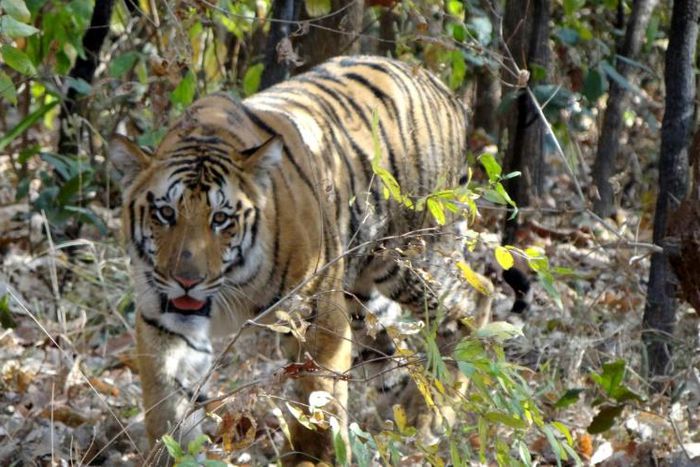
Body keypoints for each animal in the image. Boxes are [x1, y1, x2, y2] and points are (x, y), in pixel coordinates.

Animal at [110, 55, 474, 465]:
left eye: (220, 218)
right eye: (166, 213)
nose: (187, 281)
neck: (231, 285)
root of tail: (439, 86)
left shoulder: (317, 315)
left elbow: (318, 397)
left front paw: (314, 458)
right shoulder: (163, 321)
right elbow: (166, 406)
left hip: (418, 256)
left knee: (471, 305)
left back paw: (437, 413)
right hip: (366, 296)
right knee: (391, 357)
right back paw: (406, 420)